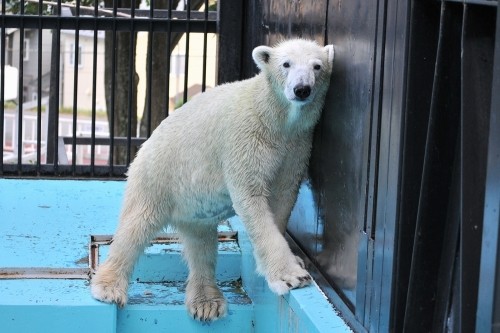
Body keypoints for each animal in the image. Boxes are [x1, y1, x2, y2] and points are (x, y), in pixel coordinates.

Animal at [92, 38, 334, 320]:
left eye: (317, 66)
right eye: (286, 64)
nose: (302, 89)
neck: (274, 117)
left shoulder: (296, 146)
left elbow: (283, 198)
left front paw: (291, 262)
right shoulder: (245, 139)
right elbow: (251, 198)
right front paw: (291, 276)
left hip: (193, 208)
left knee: (201, 244)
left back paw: (206, 302)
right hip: (157, 178)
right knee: (137, 226)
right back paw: (109, 288)